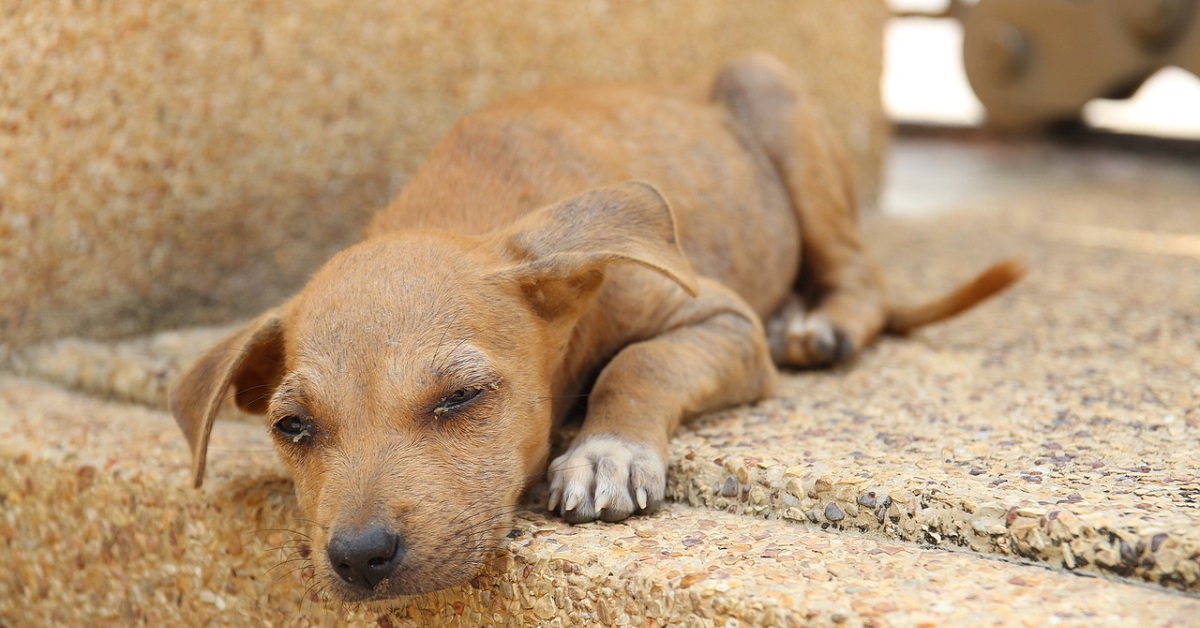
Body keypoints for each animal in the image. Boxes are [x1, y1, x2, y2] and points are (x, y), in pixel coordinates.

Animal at [174, 54, 1027, 605]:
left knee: (863, 279)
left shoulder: (721, 320)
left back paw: (821, 324)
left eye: (461, 397)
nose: (359, 556)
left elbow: (638, 365)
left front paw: (604, 453)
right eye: (290, 426)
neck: (460, 207)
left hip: (769, 89)